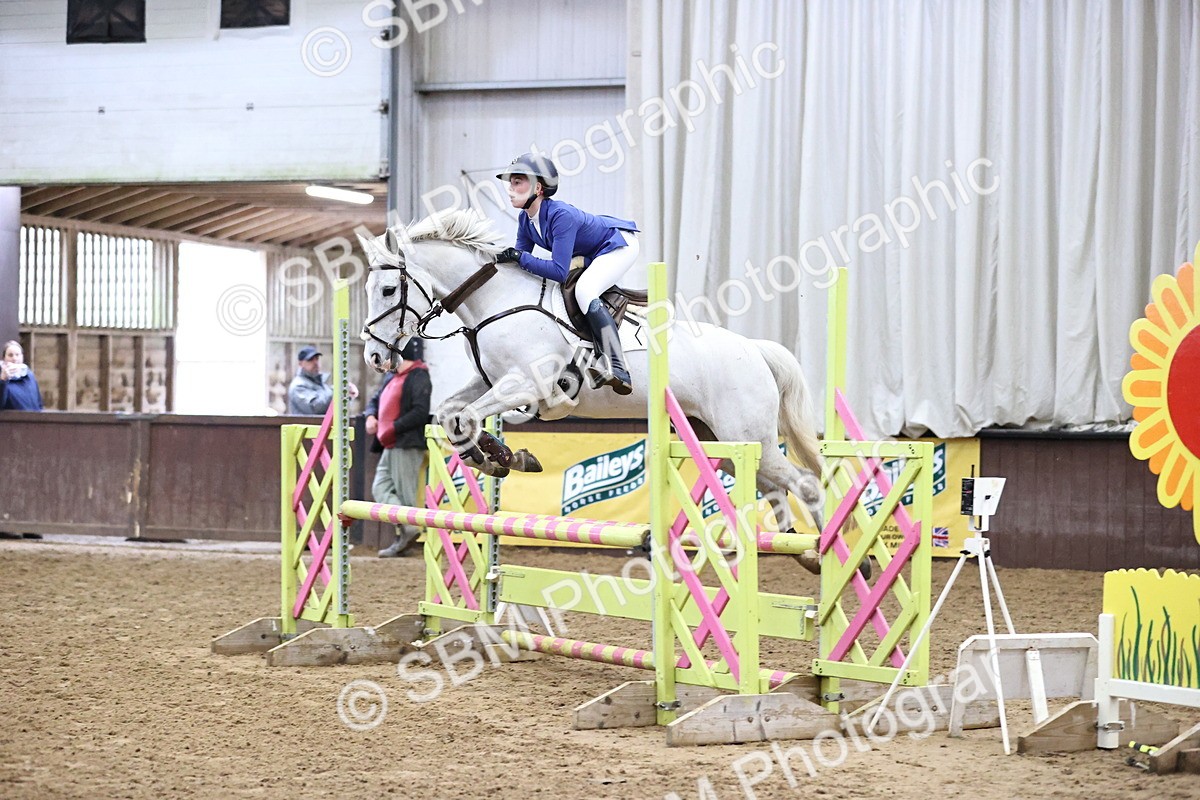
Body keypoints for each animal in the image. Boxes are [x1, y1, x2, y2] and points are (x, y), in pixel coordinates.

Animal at [356, 209, 825, 535]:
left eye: (388, 290)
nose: (375, 357)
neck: (496, 301)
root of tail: (754, 349)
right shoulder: (490, 381)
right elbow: (452, 413)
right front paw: (497, 456)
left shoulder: (527, 384)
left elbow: (467, 415)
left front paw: (502, 458)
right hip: (718, 442)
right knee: (775, 487)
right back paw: (793, 547)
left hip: (748, 436)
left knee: (804, 483)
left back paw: (824, 559)